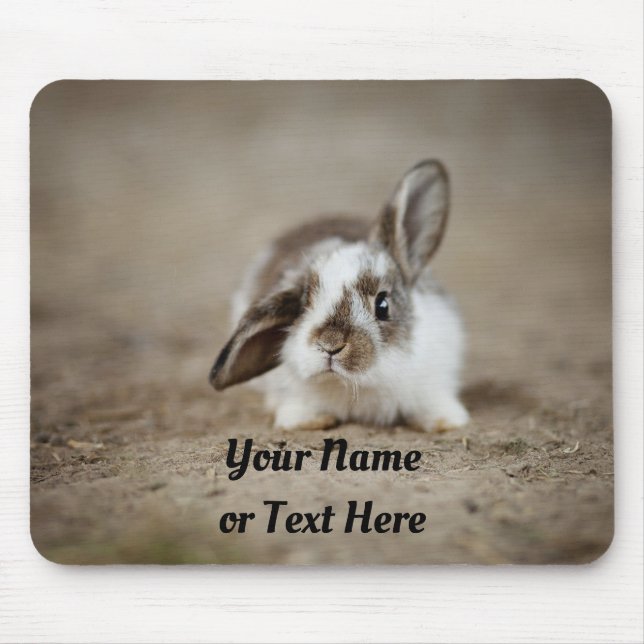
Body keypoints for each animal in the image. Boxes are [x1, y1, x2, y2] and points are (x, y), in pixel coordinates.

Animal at [209, 160, 470, 432]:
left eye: (383, 305)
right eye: (303, 306)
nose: (330, 345)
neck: (357, 385)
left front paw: (446, 421)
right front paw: (309, 421)